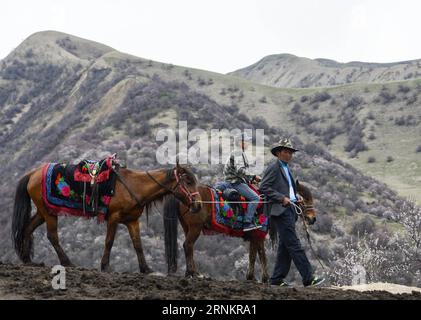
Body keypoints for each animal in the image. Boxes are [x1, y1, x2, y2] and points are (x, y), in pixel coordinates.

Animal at [11, 162, 202, 272]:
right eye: (188, 181)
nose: (199, 205)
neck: (134, 185)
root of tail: (32, 173)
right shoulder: (114, 217)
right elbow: (109, 241)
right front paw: (105, 266)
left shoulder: (132, 221)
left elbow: (138, 244)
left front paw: (146, 269)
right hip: (49, 212)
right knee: (52, 236)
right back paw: (67, 262)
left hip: (43, 211)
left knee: (28, 228)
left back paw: (28, 260)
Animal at [161, 180, 316, 282]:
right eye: (305, 198)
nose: (312, 218)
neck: (265, 204)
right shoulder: (258, 236)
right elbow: (259, 256)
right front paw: (261, 278)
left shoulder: (255, 237)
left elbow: (255, 255)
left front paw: (254, 277)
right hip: (195, 228)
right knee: (188, 246)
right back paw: (194, 273)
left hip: (187, 227)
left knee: (189, 247)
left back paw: (193, 273)